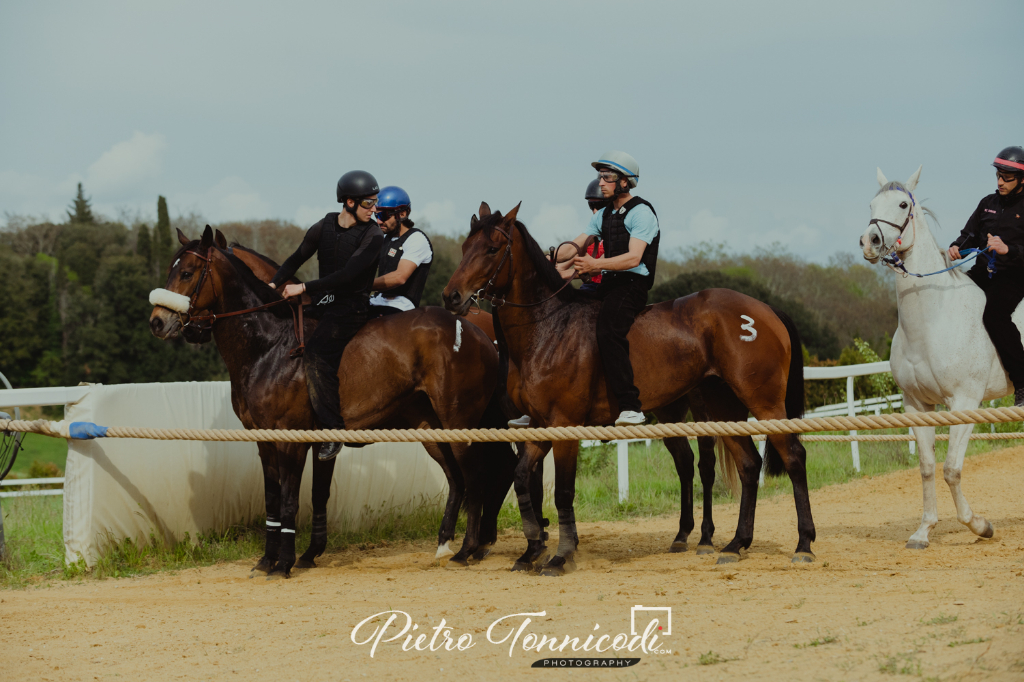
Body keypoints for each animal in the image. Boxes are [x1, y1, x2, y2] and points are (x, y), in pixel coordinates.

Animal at [149, 227, 520, 573]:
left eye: (188, 272)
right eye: (170, 269)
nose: (158, 322)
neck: (271, 345)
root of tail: (477, 333)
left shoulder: (293, 440)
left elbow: (291, 500)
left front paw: (285, 562)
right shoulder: (270, 440)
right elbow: (282, 499)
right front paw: (275, 559)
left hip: (460, 422)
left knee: (478, 475)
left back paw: (468, 549)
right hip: (432, 428)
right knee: (460, 478)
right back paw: (450, 544)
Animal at [860, 166, 1011, 548]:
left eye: (902, 204)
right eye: (871, 204)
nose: (869, 241)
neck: (933, 320)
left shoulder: (964, 403)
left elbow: (951, 469)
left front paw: (980, 525)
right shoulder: (917, 405)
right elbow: (927, 468)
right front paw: (923, 530)